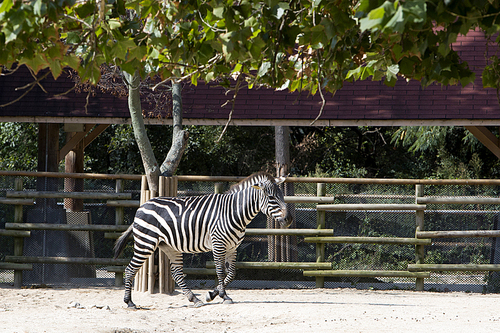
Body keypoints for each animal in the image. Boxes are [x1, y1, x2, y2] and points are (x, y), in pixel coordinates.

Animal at [114, 172, 292, 308]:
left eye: (282, 196)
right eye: (271, 197)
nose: (289, 219)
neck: (234, 212)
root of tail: (142, 206)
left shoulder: (233, 247)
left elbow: (231, 273)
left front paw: (211, 295)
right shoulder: (218, 244)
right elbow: (220, 271)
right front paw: (223, 296)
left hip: (170, 247)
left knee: (177, 273)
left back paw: (195, 299)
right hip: (146, 243)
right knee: (130, 270)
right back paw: (129, 302)